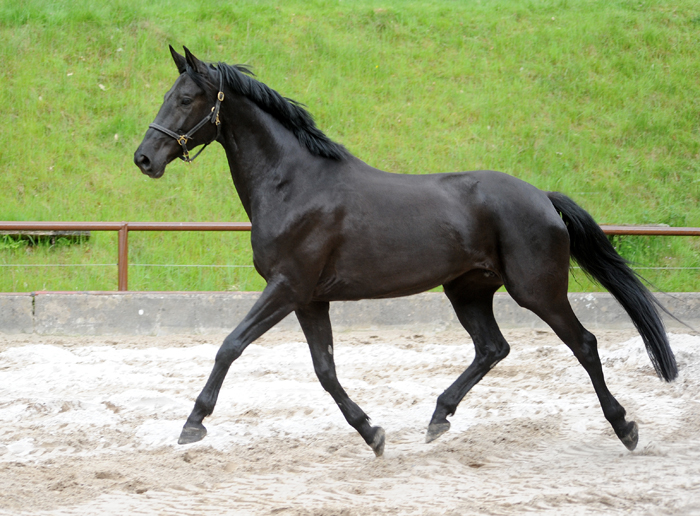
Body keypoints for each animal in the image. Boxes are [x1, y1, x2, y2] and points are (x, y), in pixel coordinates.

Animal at [134, 45, 676, 456]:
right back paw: (438, 418)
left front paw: (193, 424)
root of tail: (542, 197)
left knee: (583, 344)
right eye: (166, 96)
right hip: (467, 291)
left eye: (186, 98)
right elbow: (326, 371)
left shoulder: (286, 287)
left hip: (537, 290)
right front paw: (372, 433)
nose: (144, 159)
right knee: (492, 348)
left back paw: (625, 428)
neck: (294, 185)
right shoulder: (309, 299)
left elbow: (230, 345)